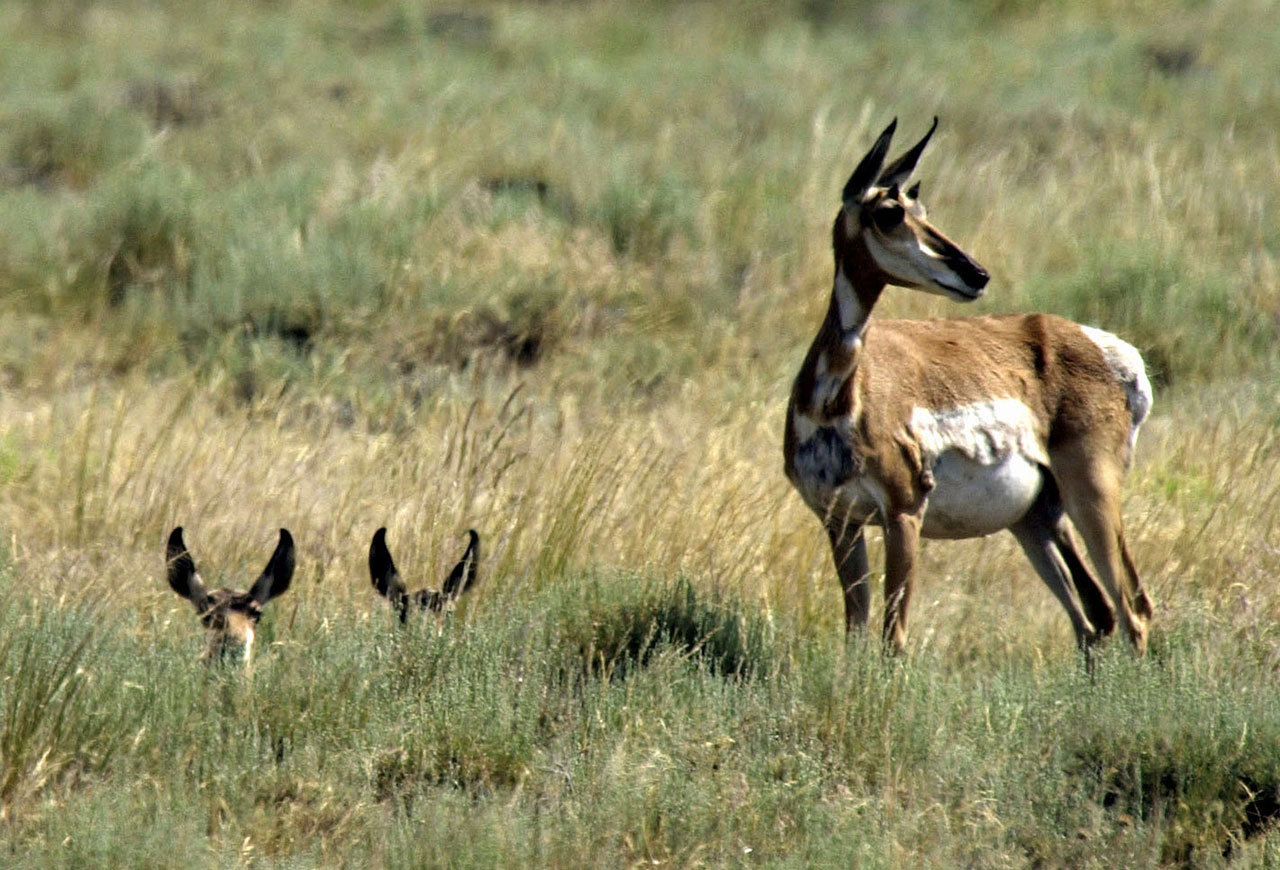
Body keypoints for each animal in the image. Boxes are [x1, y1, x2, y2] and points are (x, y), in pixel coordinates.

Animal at [783, 118, 1155, 654]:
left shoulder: (904, 513)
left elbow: (893, 639)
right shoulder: (840, 520)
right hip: (1036, 520)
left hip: (1092, 494)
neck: (836, 399)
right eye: (890, 212)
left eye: (922, 208)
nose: (976, 274)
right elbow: (856, 632)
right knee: (1095, 618)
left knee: (1133, 610)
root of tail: (1104, 347)